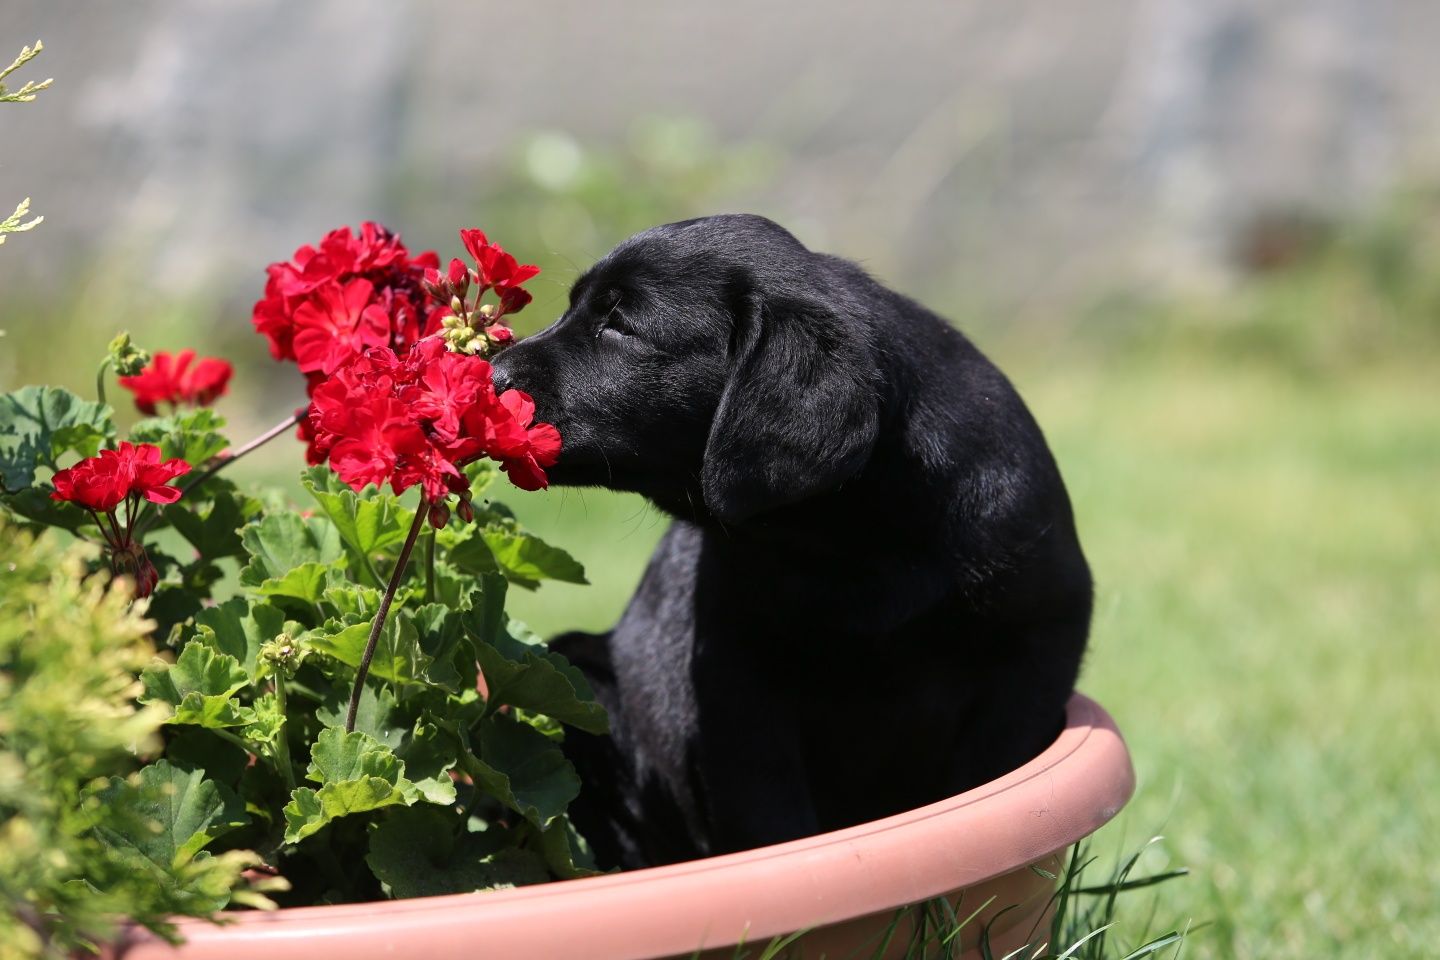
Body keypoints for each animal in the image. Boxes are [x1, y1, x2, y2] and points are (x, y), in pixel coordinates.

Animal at [486, 215, 1088, 869]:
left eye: (620, 325)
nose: (491, 375)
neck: (851, 539)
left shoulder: (1037, 640)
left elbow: (989, 767)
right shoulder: (738, 681)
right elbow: (769, 812)